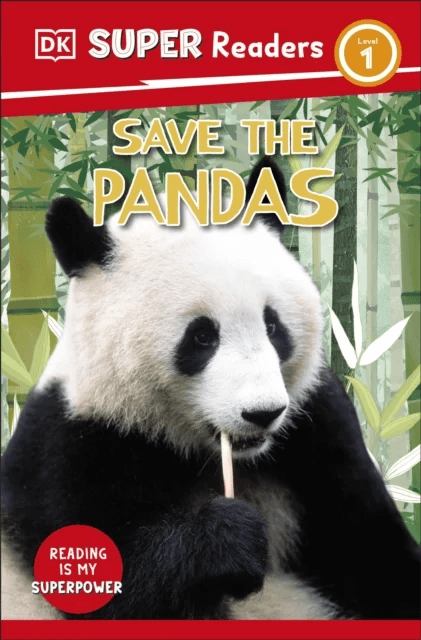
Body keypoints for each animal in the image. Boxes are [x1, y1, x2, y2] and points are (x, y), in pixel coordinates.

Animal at [1, 158, 420, 621]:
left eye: (273, 325)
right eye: (201, 337)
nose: (262, 413)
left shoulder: (317, 432)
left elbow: (373, 554)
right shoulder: (69, 451)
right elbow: (106, 584)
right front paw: (229, 542)